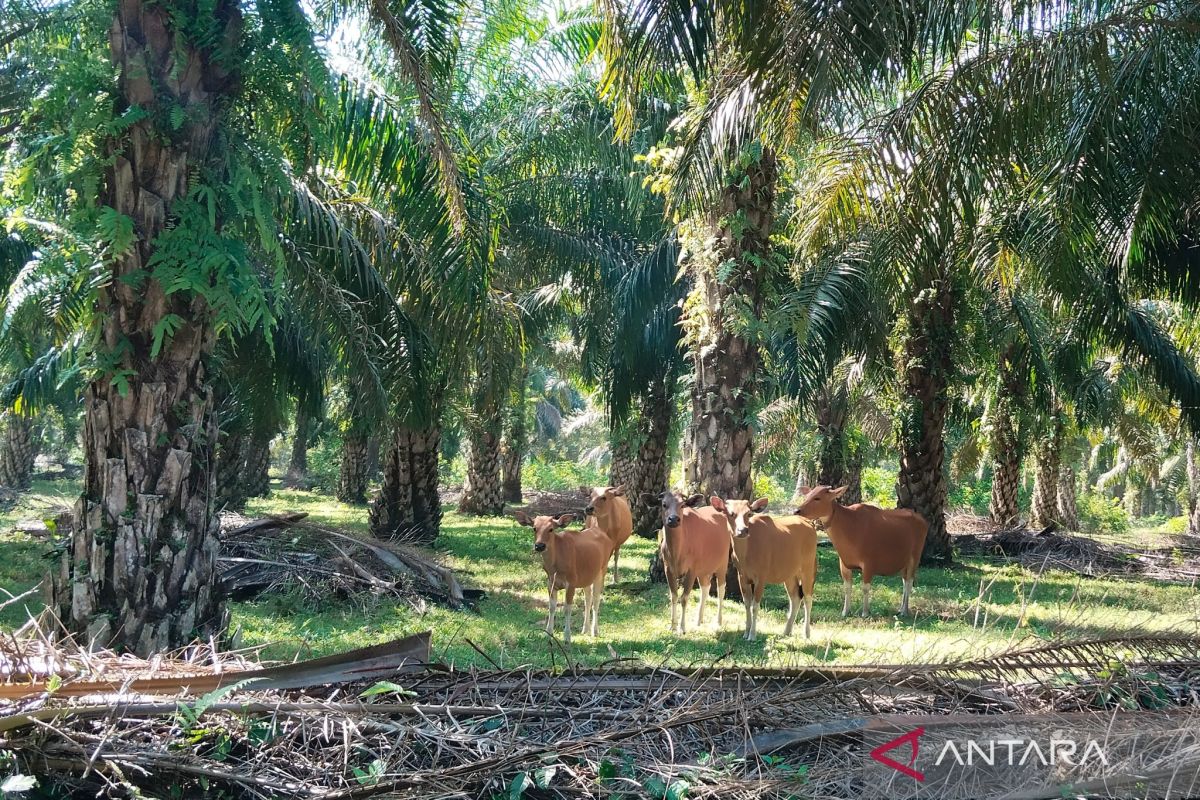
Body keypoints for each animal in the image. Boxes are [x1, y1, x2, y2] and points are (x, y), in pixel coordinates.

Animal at [513, 513, 609, 642]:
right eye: (534, 528)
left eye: (551, 529)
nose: (539, 545)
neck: (556, 566)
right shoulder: (550, 583)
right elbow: (552, 607)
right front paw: (548, 632)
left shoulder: (571, 582)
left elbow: (567, 609)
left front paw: (567, 636)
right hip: (586, 577)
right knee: (588, 598)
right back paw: (585, 629)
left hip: (602, 570)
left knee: (596, 599)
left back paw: (595, 631)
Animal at [648, 491, 729, 633]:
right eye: (664, 504)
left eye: (682, 505)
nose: (673, 519)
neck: (678, 551)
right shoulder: (668, 569)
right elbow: (673, 596)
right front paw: (672, 625)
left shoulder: (691, 570)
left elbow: (684, 598)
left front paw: (682, 628)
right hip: (703, 570)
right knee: (706, 587)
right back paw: (699, 620)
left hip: (722, 564)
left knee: (721, 589)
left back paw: (718, 621)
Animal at [710, 496, 816, 642]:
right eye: (730, 513)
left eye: (749, 513)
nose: (743, 530)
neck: (746, 555)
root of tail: (810, 524)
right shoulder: (742, 576)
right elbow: (747, 604)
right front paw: (746, 632)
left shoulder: (761, 577)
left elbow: (755, 606)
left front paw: (752, 635)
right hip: (789, 574)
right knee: (795, 597)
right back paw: (786, 631)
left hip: (807, 568)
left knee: (808, 598)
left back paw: (806, 634)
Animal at [796, 482, 926, 618]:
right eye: (807, 497)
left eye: (817, 498)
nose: (797, 510)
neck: (849, 524)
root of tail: (922, 520)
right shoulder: (844, 565)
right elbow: (847, 587)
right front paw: (845, 611)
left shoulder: (868, 565)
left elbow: (865, 587)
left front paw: (865, 612)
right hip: (904, 563)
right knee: (905, 581)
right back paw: (901, 608)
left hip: (915, 558)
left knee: (909, 582)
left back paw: (905, 611)